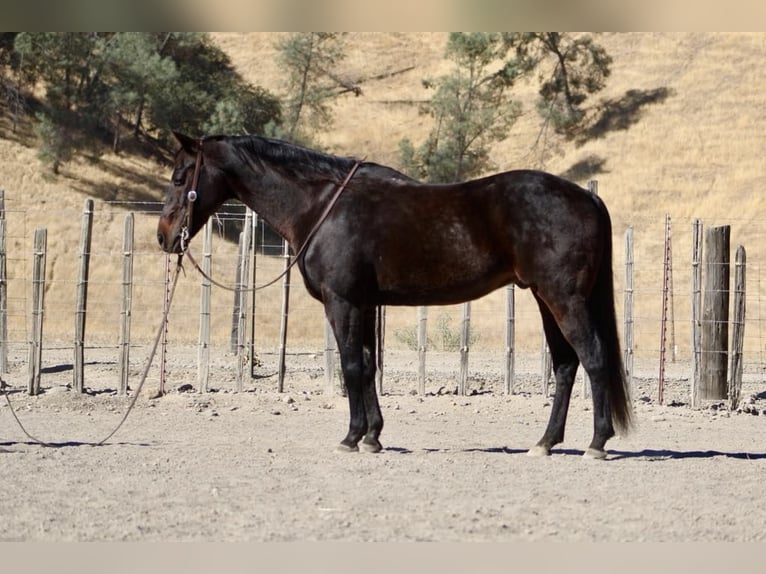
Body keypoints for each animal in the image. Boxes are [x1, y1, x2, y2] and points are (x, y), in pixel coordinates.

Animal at [157, 132, 632, 459]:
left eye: (181, 177)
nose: (163, 236)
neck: (322, 207)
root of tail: (586, 198)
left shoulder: (343, 302)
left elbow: (351, 365)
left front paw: (351, 437)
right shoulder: (365, 304)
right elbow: (368, 366)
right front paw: (372, 436)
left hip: (563, 299)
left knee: (593, 358)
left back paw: (597, 443)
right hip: (546, 299)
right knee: (567, 365)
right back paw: (546, 442)